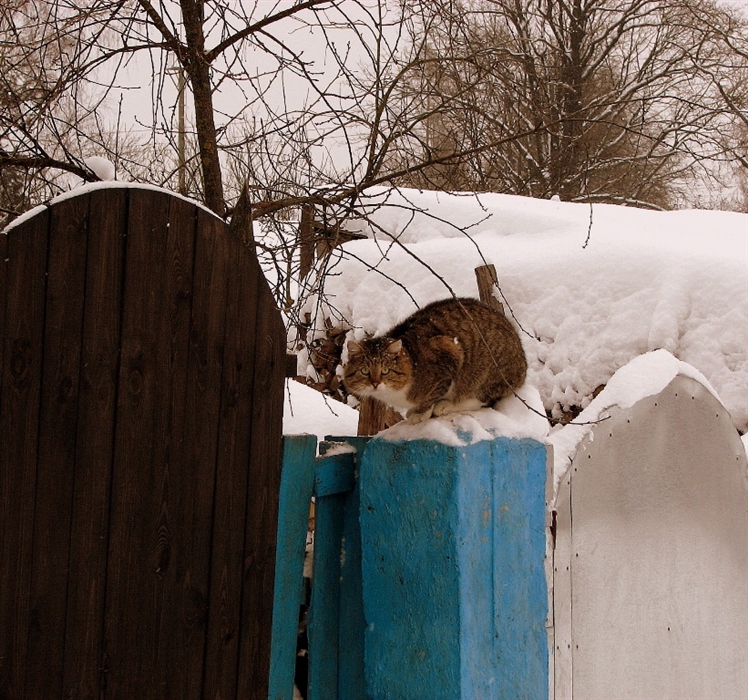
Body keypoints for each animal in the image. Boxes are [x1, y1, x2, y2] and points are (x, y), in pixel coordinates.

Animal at [344, 296, 524, 422]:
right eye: (364, 371)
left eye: (386, 370)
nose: (375, 383)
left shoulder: (449, 353)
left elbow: (432, 396)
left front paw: (421, 413)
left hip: (486, 372)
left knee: (484, 399)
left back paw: (446, 405)